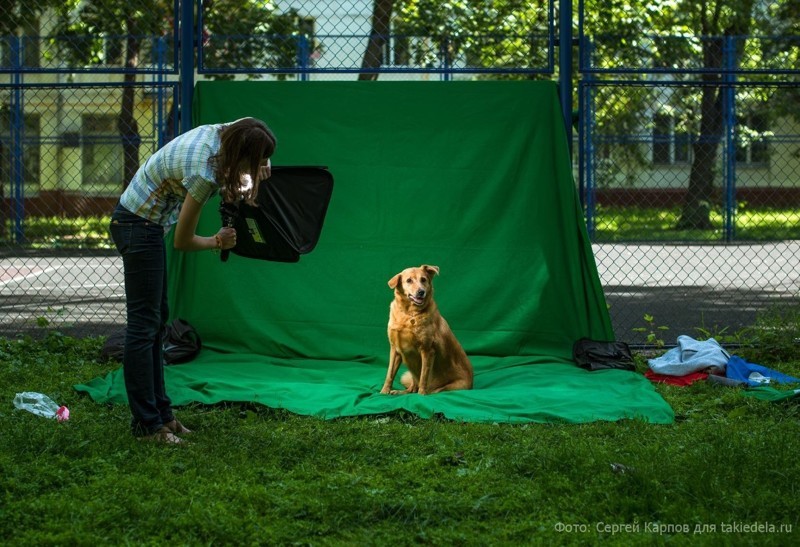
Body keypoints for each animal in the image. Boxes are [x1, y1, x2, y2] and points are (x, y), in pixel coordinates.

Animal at [380, 264, 472, 396]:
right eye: (409, 280)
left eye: (423, 279)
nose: (421, 292)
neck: (409, 314)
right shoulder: (395, 350)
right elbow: (390, 374)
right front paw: (384, 391)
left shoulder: (427, 350)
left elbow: (424, 376)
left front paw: (422, 395)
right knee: (413, 386)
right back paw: (401, 391)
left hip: (453, 385)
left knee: (434, 388)